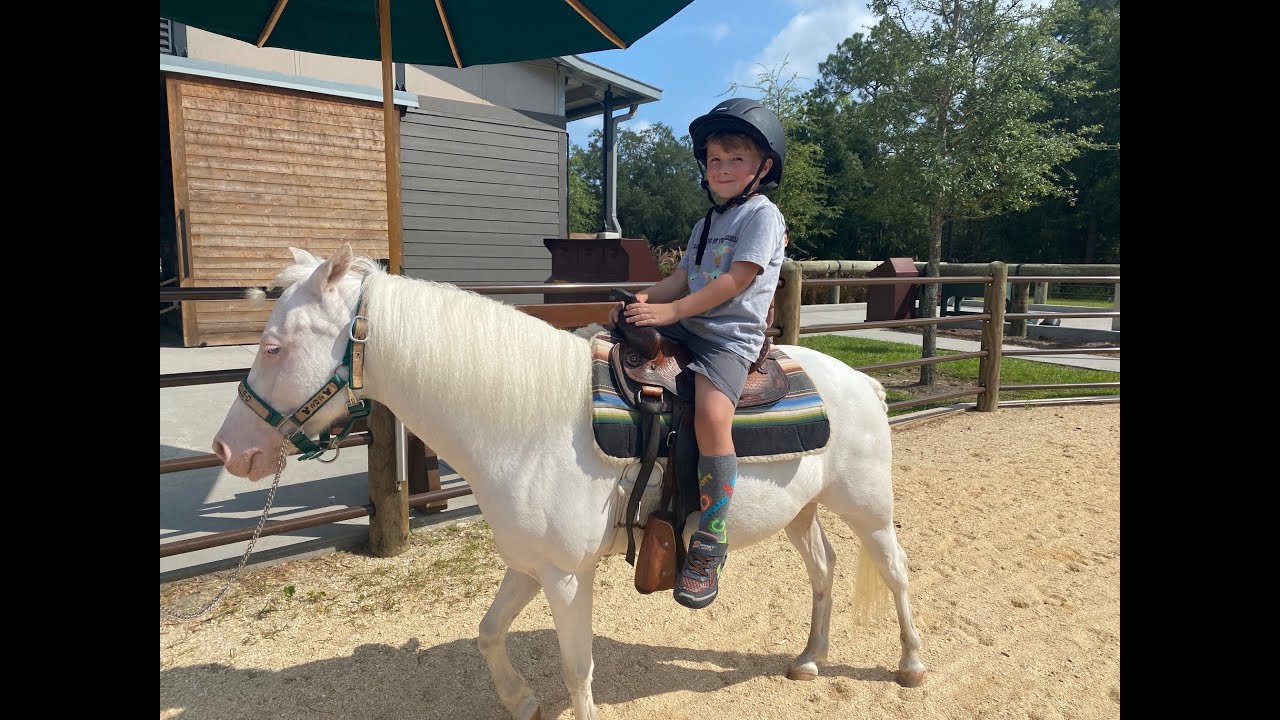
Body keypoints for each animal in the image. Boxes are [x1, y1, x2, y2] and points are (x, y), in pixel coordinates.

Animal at [212, 244, 925, 720]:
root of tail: (860, 381)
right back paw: (809, 658)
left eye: (274, 346)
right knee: (824, 570)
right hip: (801, 511)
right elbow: (489, 631)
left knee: (894, 573)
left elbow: (578, 670)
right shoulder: (528, 565)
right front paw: (521, 700)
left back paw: (911, 665)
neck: (530, 426)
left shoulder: (565, 576)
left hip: (868, 508)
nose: (229, 448)